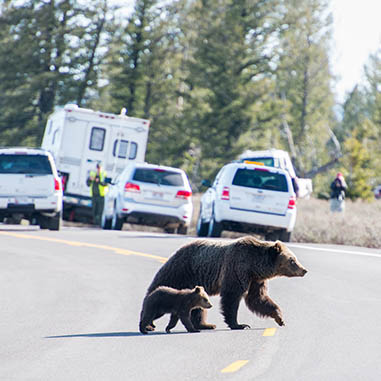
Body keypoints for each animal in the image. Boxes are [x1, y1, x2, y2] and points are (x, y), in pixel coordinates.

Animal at [144, 236, 308, 328]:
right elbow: (232, 296)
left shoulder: (256, 279)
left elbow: (258, 298)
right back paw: (149, 321)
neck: (255, 265)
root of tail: (176, 252)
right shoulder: (237, 267)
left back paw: (206, 324)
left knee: (198, 307)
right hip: (180, 271)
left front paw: (279, 318)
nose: (304, 270)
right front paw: (239, 324)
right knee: (158, 287)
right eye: (292, 260)